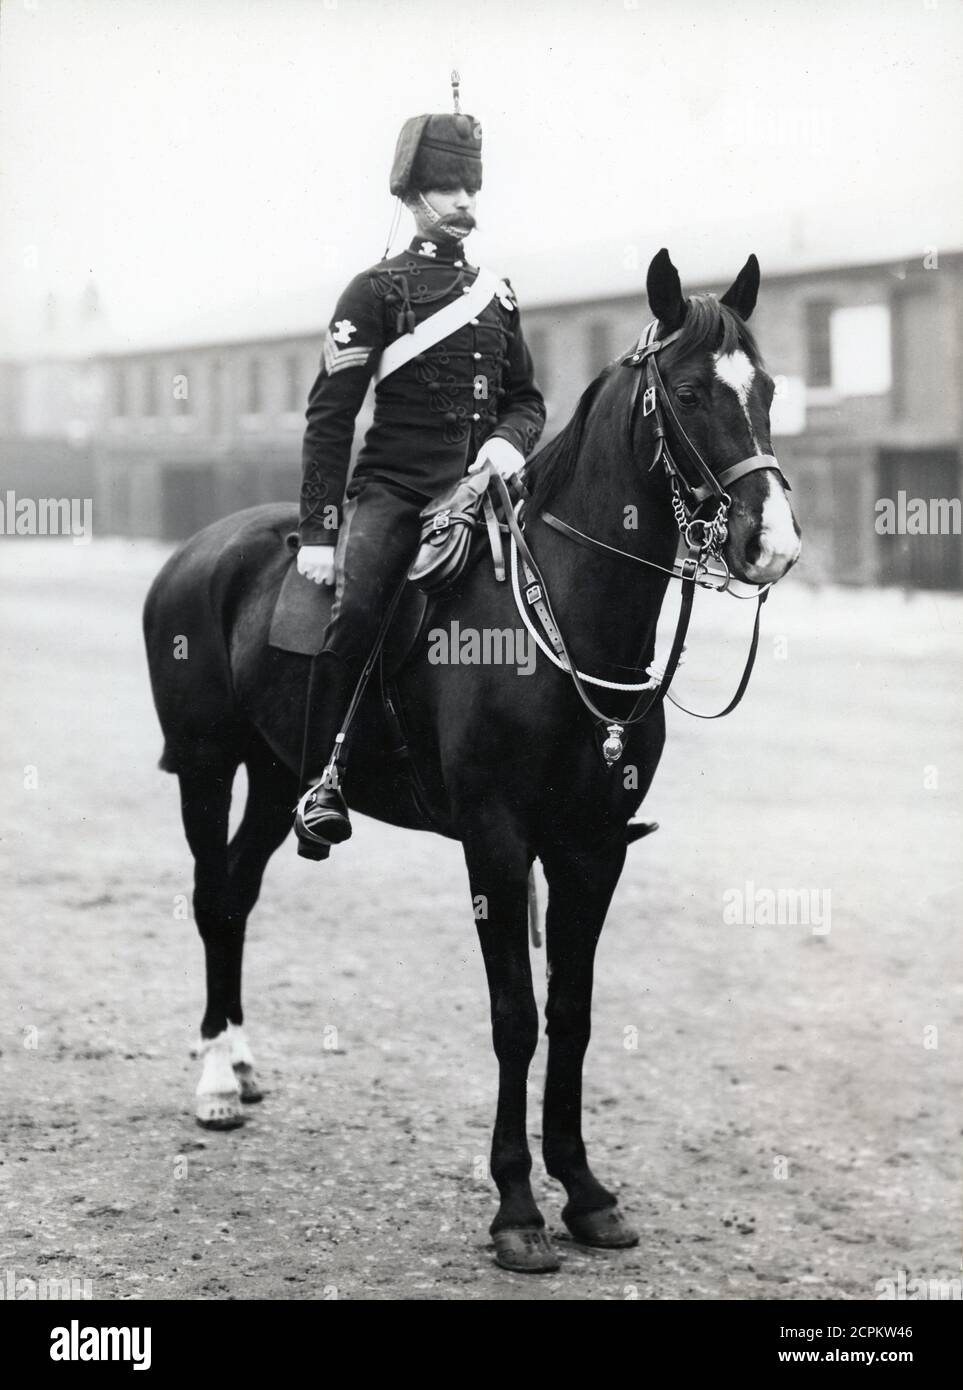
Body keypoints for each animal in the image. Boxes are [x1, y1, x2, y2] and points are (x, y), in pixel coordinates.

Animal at [142, 247, 800, 1273]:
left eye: (765, 387)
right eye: (691, 392)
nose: (771, 543)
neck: (563, 615)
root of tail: (194, 552)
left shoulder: (591, 848)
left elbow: (572, 1015)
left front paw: (585, 1192)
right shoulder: (495, 841)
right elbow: (514, 1018)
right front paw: (517, 1210)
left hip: (280, 771)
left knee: (239, 892)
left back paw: (242, 1064)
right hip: (208, 766)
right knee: (214, 896)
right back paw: (212, 1080)